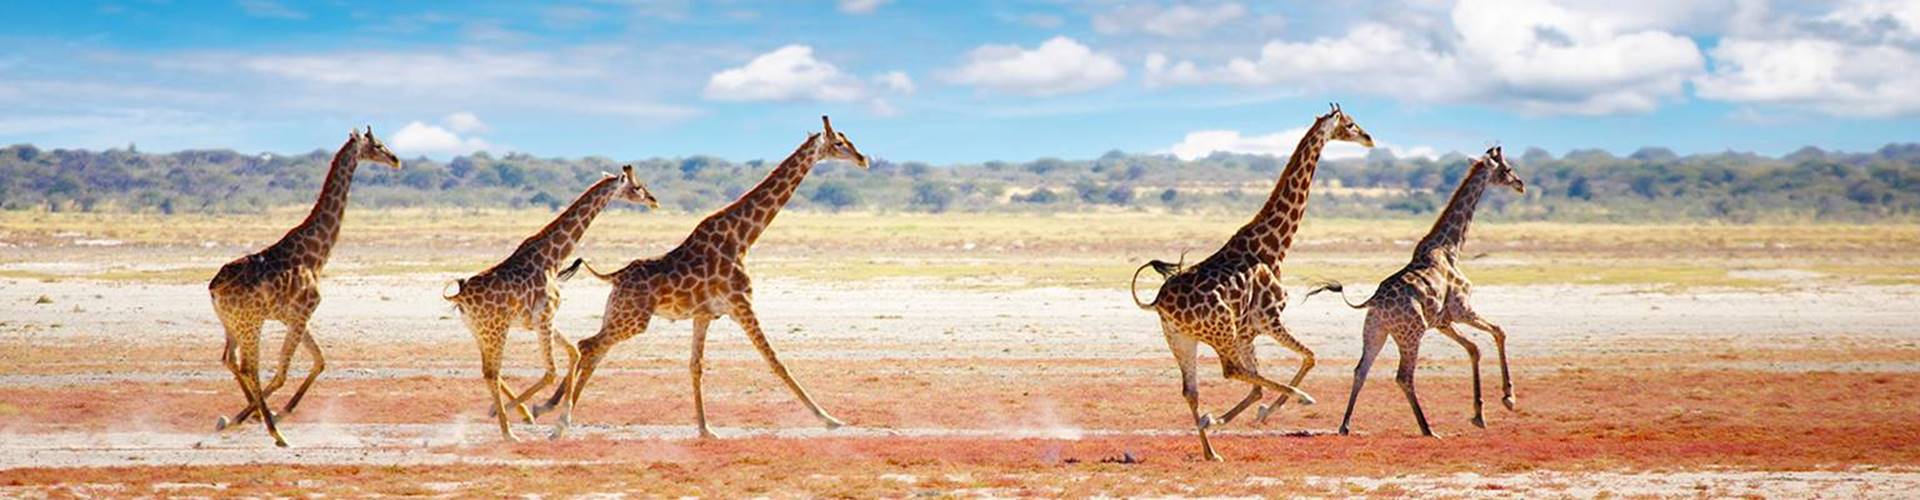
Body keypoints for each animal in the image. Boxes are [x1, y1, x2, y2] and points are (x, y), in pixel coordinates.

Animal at [207, 127, 400, 447]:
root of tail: (214, 288)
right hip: (251, 323)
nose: (396, 160)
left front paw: (274, 413)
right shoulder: (302, 313)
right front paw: (270, 420)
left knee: (229, 360)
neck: (315, 254)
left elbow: (320, 361)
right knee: (249, 367)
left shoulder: (295, 317)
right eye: (378, 144)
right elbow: (283, 373)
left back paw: (249, 418)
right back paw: (272, 431)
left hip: (231, 324)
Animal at [443, 166, 659, 442]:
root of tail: (460, 296)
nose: (653, 200)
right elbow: (551, 371)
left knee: (488, 371)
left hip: (479, 331)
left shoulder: (542, 320)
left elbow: (574, 352)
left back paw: (511, 417)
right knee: (492, 372)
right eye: (637, 187)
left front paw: (559, 421)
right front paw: (538, 414)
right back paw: (509, 432)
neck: (552, 258)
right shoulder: (545, 316)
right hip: (495, 329)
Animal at [531, 116, 868, 439]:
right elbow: (775, 361)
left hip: (618, 314)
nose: (863, 159)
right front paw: (829, 419)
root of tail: (613, 276)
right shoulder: (742, 304)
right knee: (589, 346)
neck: (742, 238)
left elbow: (696, 366)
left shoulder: (705, 315)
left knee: (594, 350)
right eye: (839, 142)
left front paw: (706, 429)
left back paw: (548, 412)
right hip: (632, 320)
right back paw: (555, 419)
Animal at [1129, 105, 1374, 461]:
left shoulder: (1249, 331)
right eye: (1351, 124)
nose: (1369, 138)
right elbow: (1308, 357)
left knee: (1192, 390)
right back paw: (1295, 398)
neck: (1273, 248)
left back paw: (1211, 451)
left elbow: (1261, 383)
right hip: (1220, 331)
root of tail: (1159, 303)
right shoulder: (1269, 318)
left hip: (1182, 339)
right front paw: (1270, 409)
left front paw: (1232, 417)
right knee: (1230, 371)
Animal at [1307, 146, 1525, 437]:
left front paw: (1480, 414)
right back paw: (1427, 428)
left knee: (1361, 369)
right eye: (1507, 168)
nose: (1520, 184)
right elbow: (1499, 332)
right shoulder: (1462, 309)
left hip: (1375, 331)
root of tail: (1372, 302)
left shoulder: (1443, 321)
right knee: (1403, 376)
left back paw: (1345, 425)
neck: (1450, 248)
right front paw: (1508, 398)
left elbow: (1474, 349)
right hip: (1412, 333)